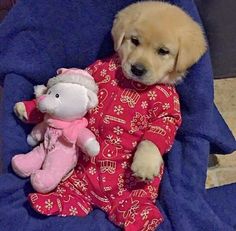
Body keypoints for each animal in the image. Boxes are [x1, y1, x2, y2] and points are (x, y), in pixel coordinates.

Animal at [111, 0, 206, 179]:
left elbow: (154, 138)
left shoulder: (168, 113)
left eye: (163, 51)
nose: (137, 69)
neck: (134, 86)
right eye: (134, 41)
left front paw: (145, 165)